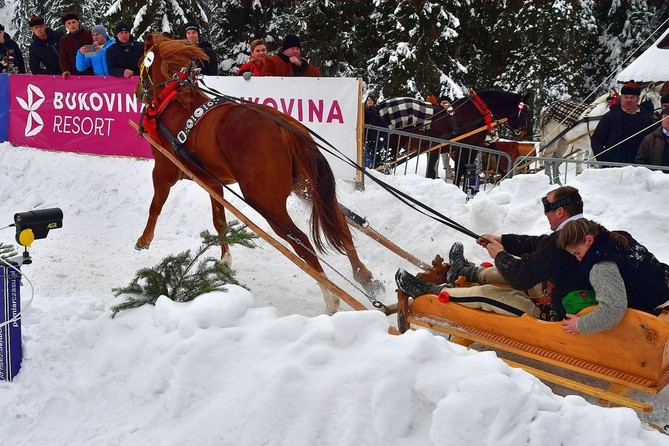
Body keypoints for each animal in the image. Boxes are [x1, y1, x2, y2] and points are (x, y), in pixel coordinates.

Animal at [133, 34, 380, 314]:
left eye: (141, 62)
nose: (137, 93)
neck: (174, 100)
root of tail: (288, 129)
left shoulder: (164, 171)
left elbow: (155, 206)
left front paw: (144, 239)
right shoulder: (211, 182)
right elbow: (219, 221)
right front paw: (225, 261)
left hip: (266, 203)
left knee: (302, 241)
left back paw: (331, 297)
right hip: (306, 189)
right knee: (340, 224)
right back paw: (364, 277)